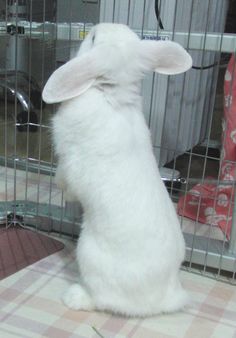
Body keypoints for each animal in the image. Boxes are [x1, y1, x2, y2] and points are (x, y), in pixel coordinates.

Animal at [42, 21, 192, 316]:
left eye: (93, 38)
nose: (98, 25)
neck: (109, 93)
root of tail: (163, 299)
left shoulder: (69, 161)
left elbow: (66, 178)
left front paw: (61, 188)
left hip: (88, 255)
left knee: (102, 300)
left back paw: (74, 297)